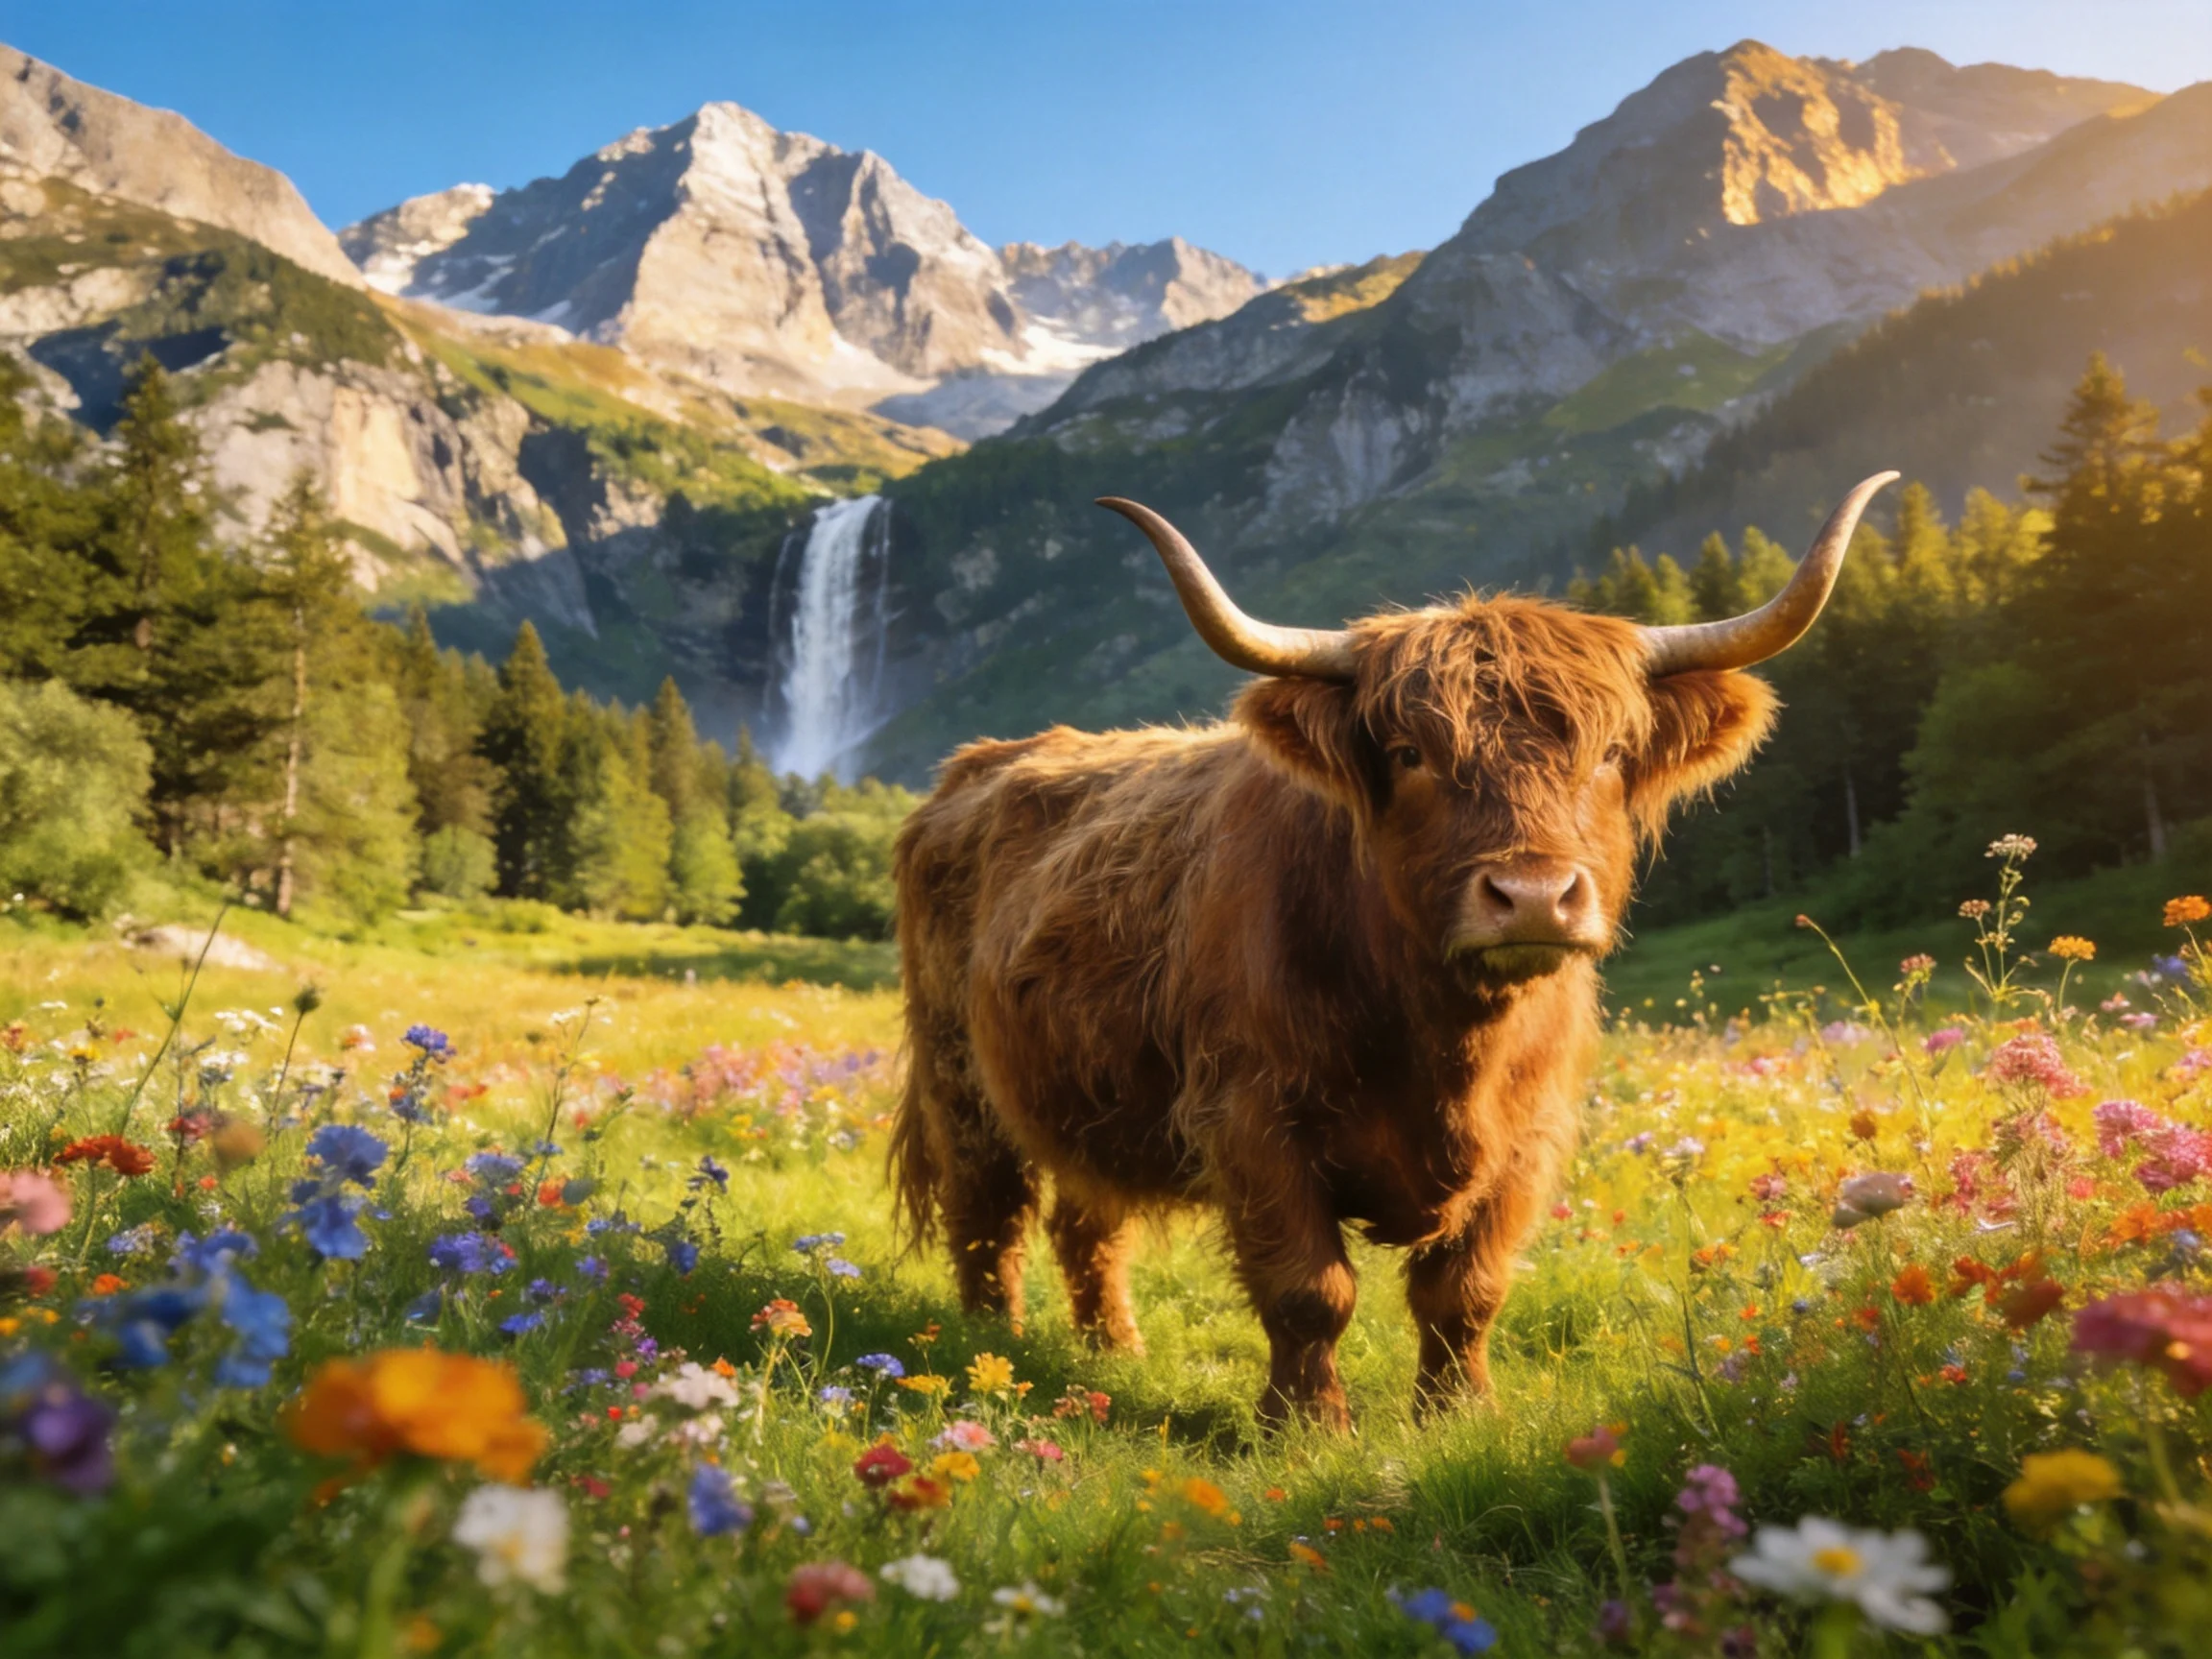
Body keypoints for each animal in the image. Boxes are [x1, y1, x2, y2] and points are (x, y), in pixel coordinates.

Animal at [889, 474, 1895, 1427]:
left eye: (1611, 752)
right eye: (1411, 753)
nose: (1534, 896)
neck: (1445, 1041)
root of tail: (973, 768)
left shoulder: (1529, 1137)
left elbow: (1466, 1290)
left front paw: (1458, 1413)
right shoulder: (1250, 1119)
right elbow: (1309, 1289)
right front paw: (1306, 1424)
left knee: (1086, 1220)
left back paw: (1113, 1352)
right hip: (959, 1081)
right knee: (988, 1218)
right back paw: (991, 1354)